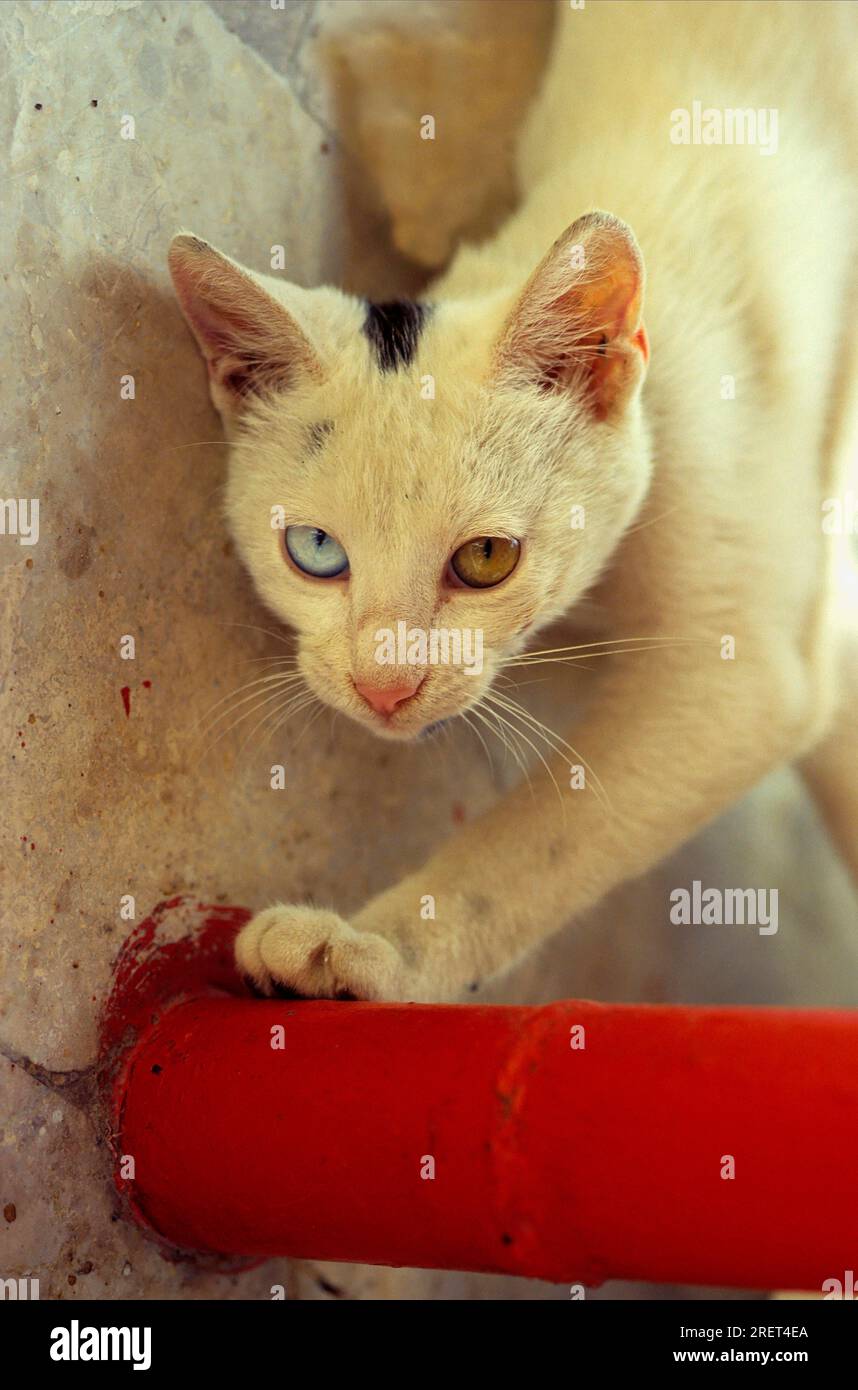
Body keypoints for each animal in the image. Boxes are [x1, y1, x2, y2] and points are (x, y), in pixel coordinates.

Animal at [168, 0, 856, 1000]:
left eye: (486, 560)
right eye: (316, 552)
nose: (384, 689)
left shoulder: (743, 675)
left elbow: (540, 845)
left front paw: (373, 950)